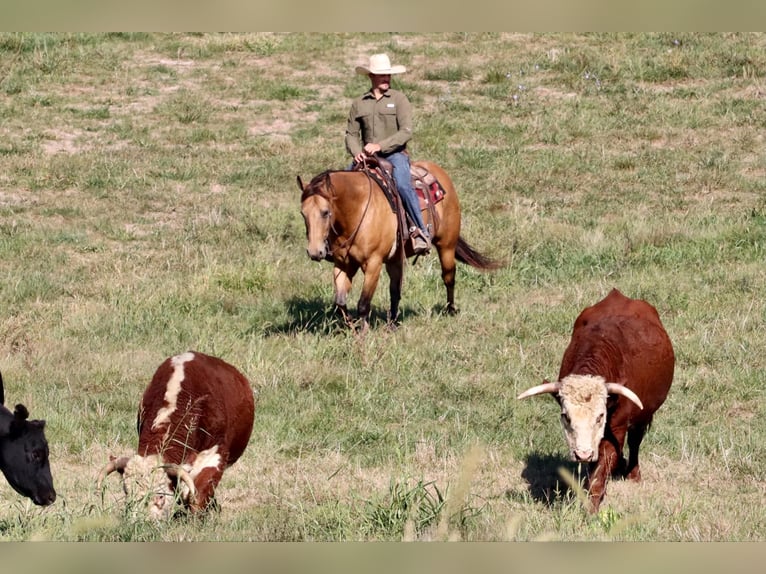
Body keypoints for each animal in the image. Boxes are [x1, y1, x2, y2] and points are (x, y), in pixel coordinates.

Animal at [296, 160, 500, 330]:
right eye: (303, 213)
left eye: (325, 212)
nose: (315, 252)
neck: (357, 211)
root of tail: (439, 173)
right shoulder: (343, 264)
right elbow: (340, 302)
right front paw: (351, 326)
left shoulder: (373, 264)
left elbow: (363, 303)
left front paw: (363, 333)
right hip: (395, 258)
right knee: (395, 290)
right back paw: (393, 323)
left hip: (446, 245)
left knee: (449, 277)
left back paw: (450, 310)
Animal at [520, 290, 676, 516]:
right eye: (566, 416)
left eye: (600, 416)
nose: (583, 453)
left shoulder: (617, 427)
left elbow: (602, 467)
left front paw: (591, 508)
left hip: (643, 415)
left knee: (635, 441)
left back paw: (633, 473)